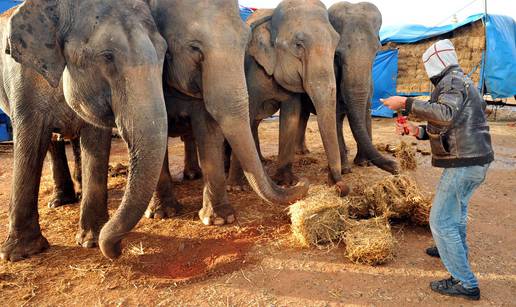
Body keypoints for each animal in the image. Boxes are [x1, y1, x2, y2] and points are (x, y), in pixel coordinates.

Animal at [0, 0, 167, 262]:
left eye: (164, 53)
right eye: (107, 57)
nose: (118, 249)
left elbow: (95, 140)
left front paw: (91, 240)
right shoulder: (23, 79)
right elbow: (29, 139)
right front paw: (17, 254)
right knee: (52, 141)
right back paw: (60, 201)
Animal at [227, 0, 346, 189]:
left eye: (336, 42)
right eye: (298, 45)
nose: (339, 185)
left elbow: (291, 116)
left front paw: (286, 182)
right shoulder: (250, 71)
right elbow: (245, 115)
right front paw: (236, 187)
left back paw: (261, 161)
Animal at [292, 0, 398, 176]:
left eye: (377, 52)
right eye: (337, 55)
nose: (396, 167)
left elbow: (366, 111)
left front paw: (363, 163)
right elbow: (335, 116)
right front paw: (345, 170)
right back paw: (302, 152)